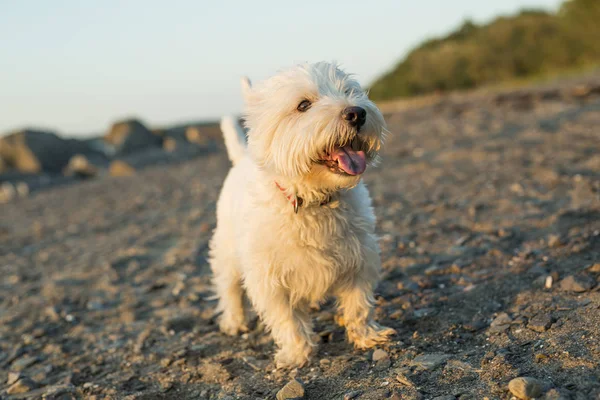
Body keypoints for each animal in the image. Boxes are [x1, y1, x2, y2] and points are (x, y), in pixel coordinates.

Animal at [209, 61, 396, 368]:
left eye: (349, 91)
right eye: (303, 105)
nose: (357, 113)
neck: (314, 201)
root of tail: (241, 158)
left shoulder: (360, 256)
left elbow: (358, 303)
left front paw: (368, 336)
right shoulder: (268, 277)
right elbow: (286, 318)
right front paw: (297, 354)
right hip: (226, 249)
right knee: (229, 286)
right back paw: (234, 322)